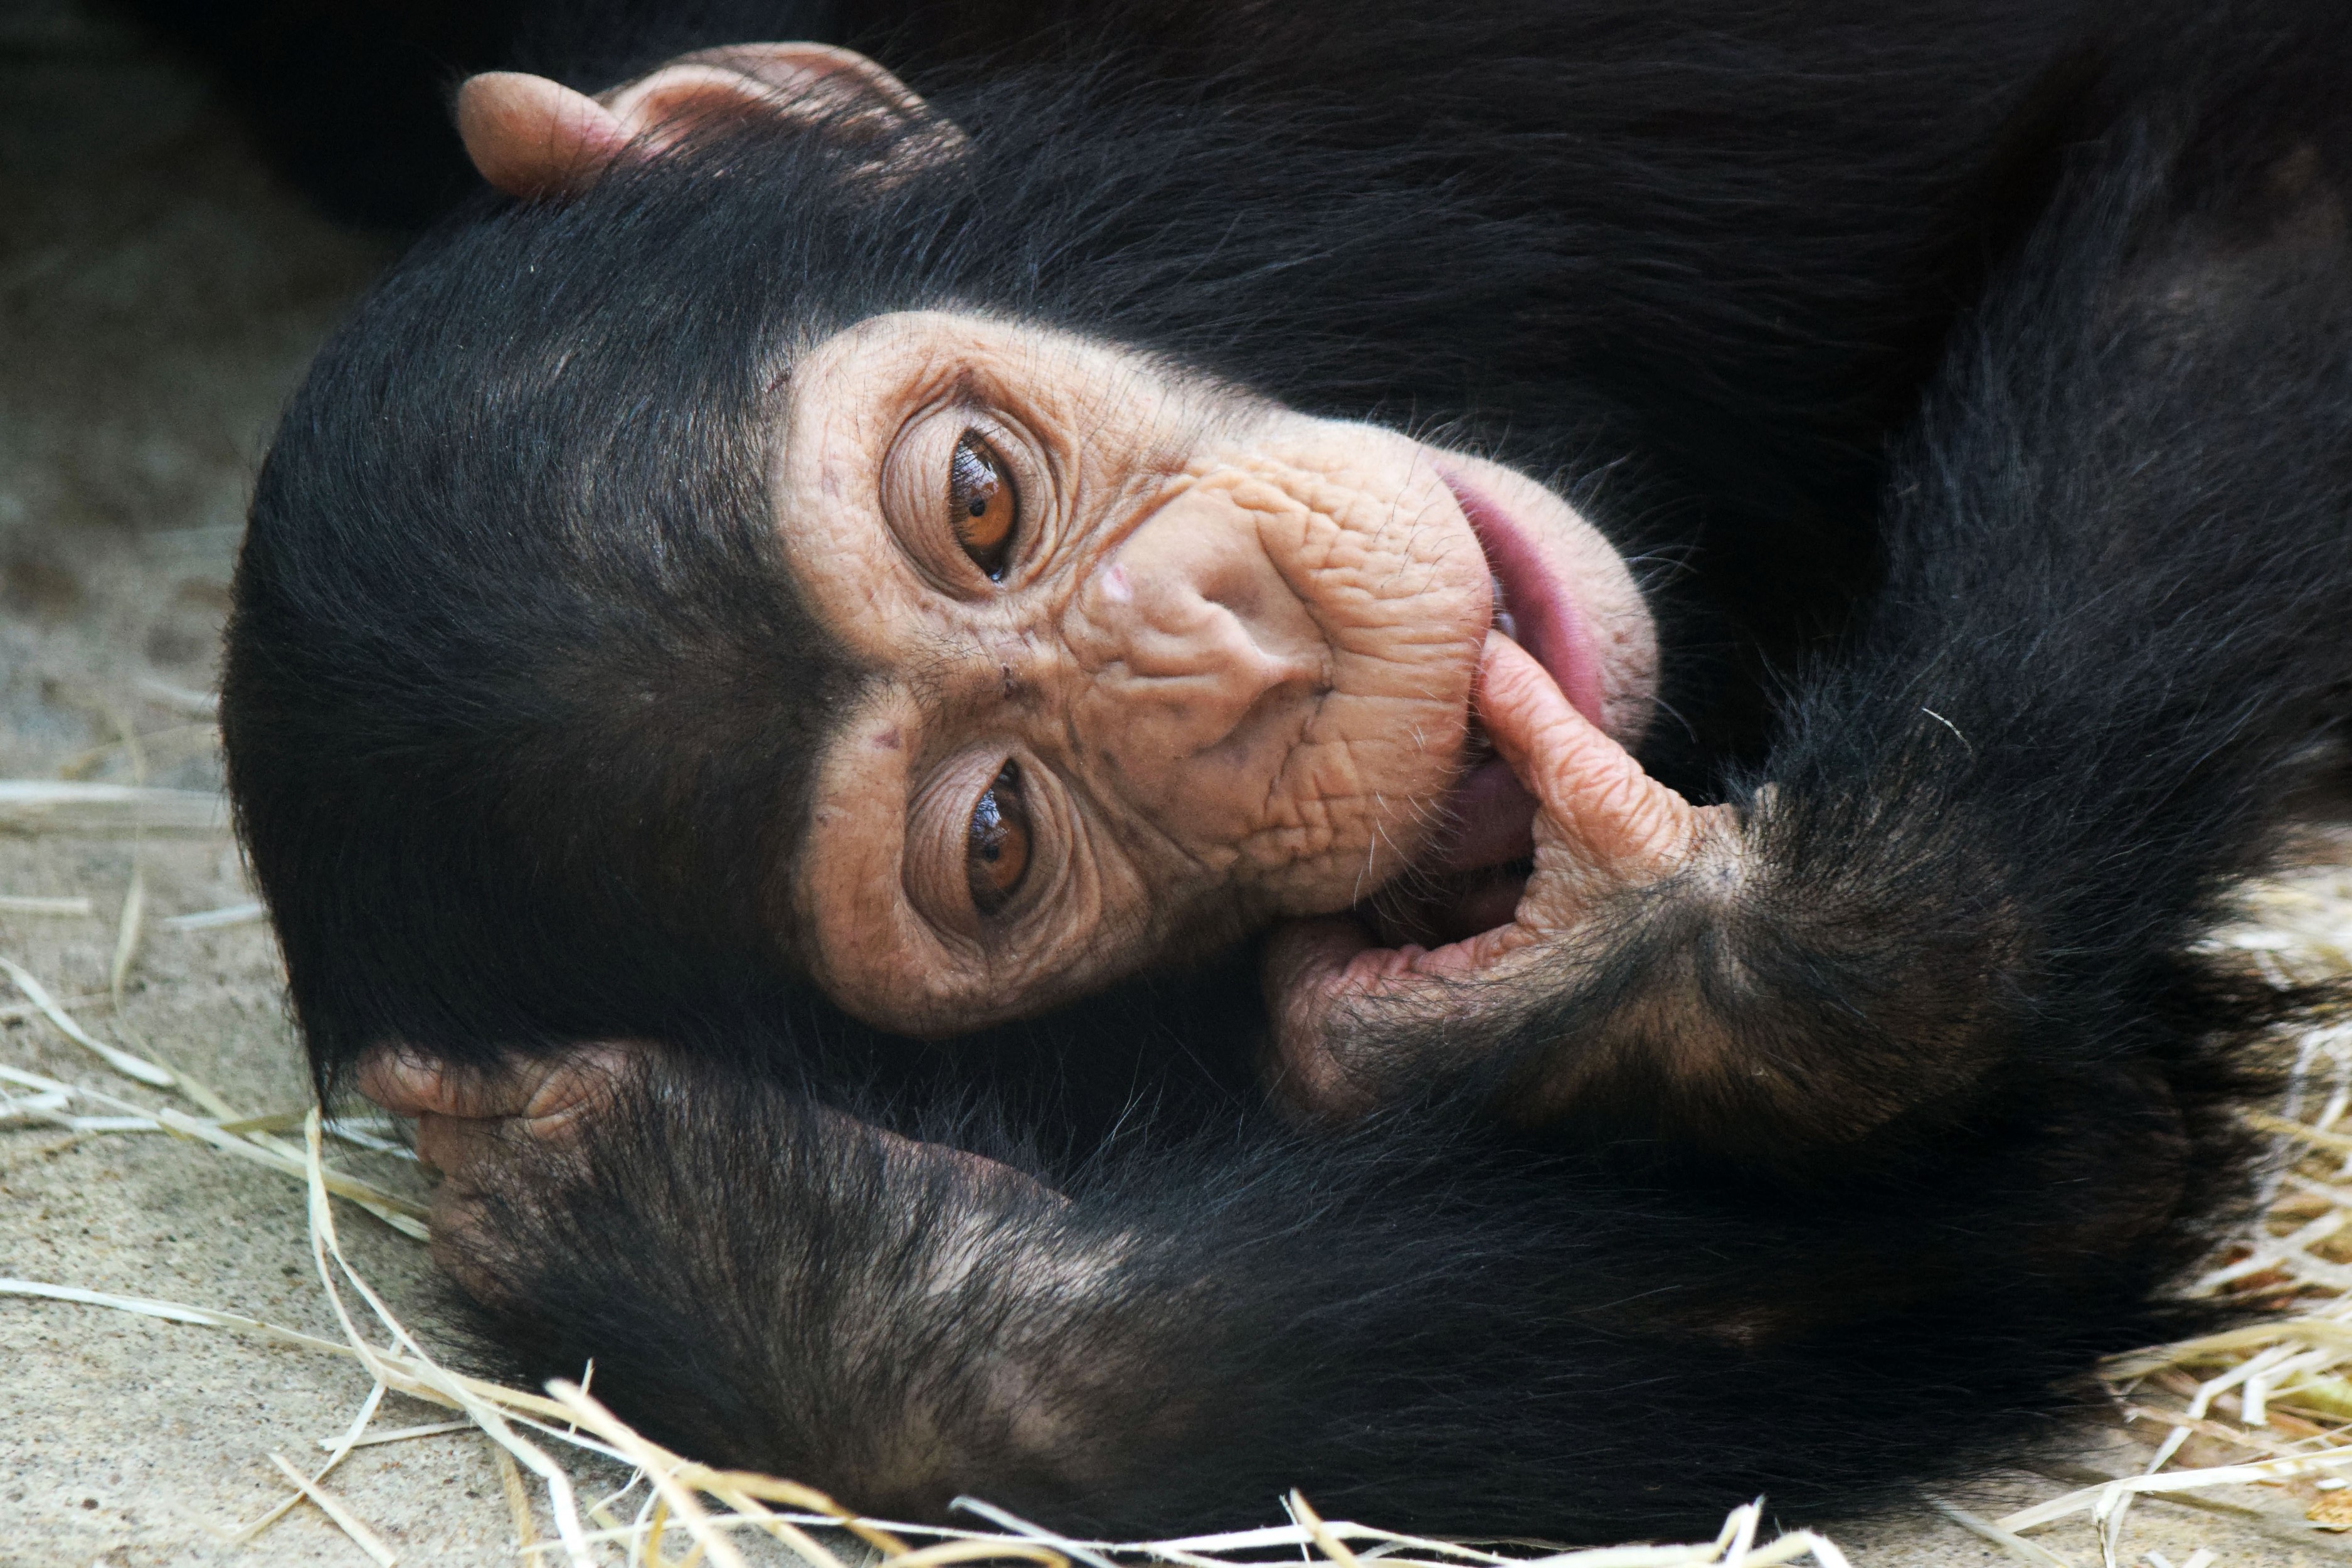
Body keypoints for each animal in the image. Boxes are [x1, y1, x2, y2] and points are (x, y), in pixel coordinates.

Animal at [217, 0, 2352, 1540]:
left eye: (976, 497)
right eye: (995, 841)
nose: (1230, 653)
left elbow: (2258, 141)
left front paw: (1728, 936)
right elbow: (2076, 1170)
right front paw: (789, 1261)